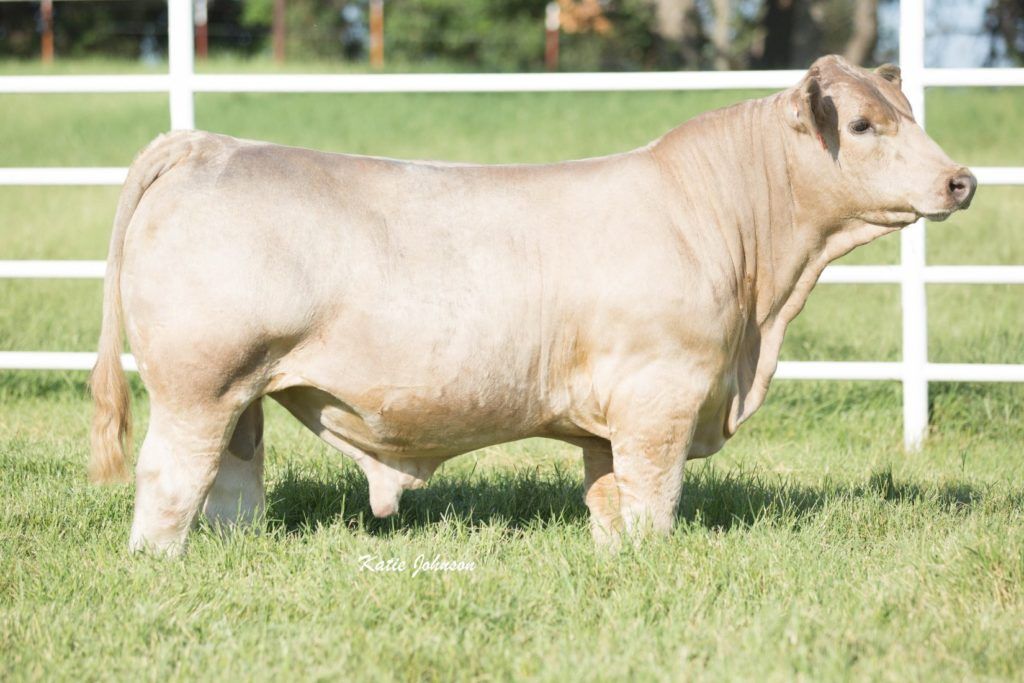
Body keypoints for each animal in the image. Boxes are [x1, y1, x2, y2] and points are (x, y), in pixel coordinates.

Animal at [89, 55, 976, 555]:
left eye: (909, 114)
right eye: (861, 124)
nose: (960, 180)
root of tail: (205, 143)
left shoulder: (608, 417)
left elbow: (609, 499)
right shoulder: (662, 394)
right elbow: (653, 498)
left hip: (244, 390)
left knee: (232, 481)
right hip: (200, 382)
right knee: (171, 476)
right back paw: (158, 561)